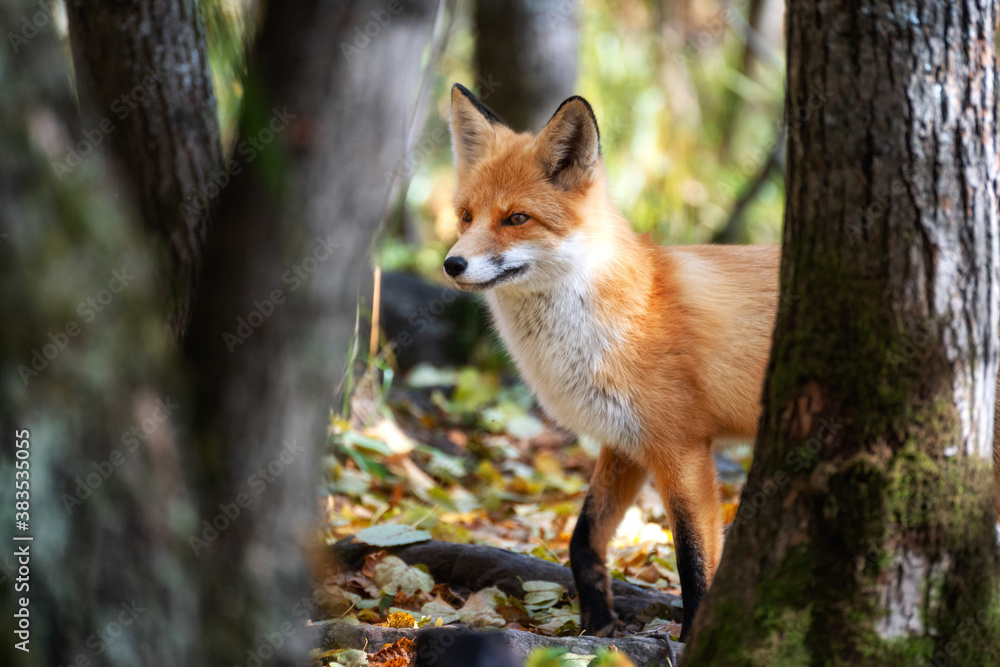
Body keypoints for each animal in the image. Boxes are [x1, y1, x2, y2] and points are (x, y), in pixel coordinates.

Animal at [444, 83, 780, 640]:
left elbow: (693, 563)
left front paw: (692, 639)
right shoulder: (623, 443)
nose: (452, 263)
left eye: (516, 218)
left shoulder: (682, 447)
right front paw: (597, 624)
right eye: (466, 216)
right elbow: (583, 541)